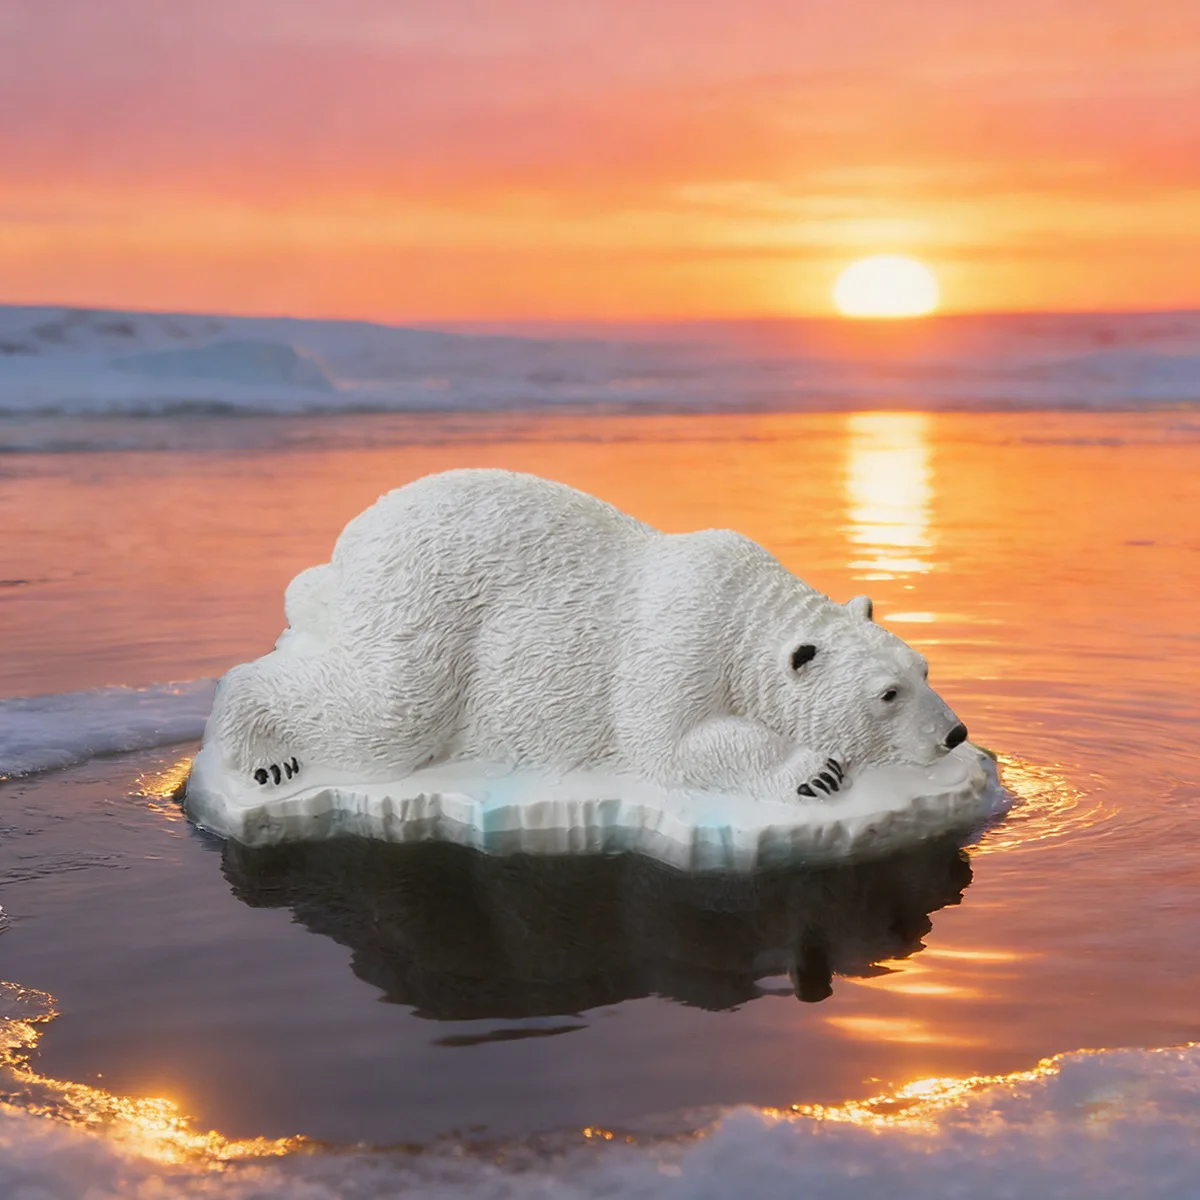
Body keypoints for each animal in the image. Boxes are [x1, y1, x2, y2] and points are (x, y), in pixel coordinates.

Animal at [205, 468, 968, 803]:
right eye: (887, 694)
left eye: (925, 669)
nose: (956, 734)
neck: (743, 605)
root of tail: (348, 549)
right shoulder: (679, 640)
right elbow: (668, 744)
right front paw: (814, 770)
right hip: (421, 606)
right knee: (383, 714)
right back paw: (265, 757)